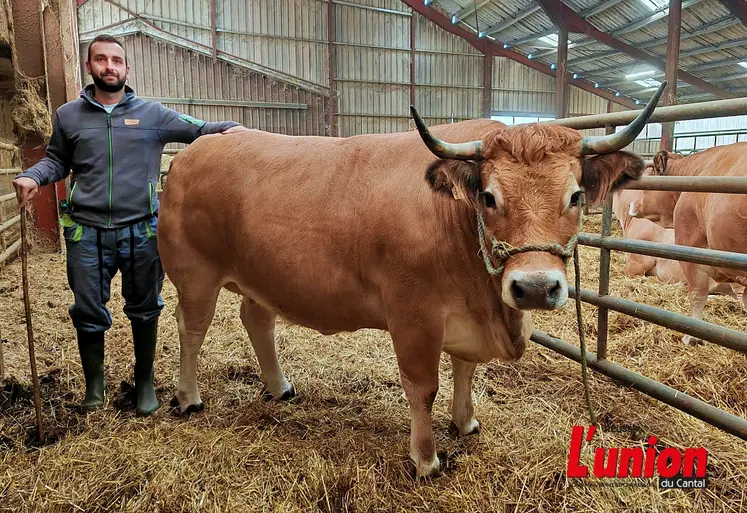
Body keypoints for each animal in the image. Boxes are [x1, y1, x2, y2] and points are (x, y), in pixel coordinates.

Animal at [156, 86, 664, 478]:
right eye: (489, 197)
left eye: (575, 196)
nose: (536, 287)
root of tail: (193, 153)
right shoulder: (414, 318)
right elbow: (424, 388)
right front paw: (426, 459)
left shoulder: (464, 319)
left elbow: (465, 370)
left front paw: (466, 423)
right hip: (195, 274)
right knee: (191, 329)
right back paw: (189, 398)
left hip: (260, 273)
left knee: (256, 319)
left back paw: (279, 387)